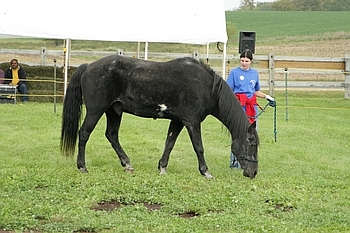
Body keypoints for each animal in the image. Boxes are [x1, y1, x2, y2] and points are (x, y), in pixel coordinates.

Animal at [60, 55, 258, 179]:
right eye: (252, 144)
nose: (253, 172)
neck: (207, 87)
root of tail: (88, 66)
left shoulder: (178, 121)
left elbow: (169, 143)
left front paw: (162, 167)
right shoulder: (192, 122)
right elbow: (199, 148)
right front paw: (206, 172)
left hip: (114, 111)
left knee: (112, 135)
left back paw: (127, 164)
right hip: (96, 111)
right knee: (84, 133)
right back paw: (82, 167)